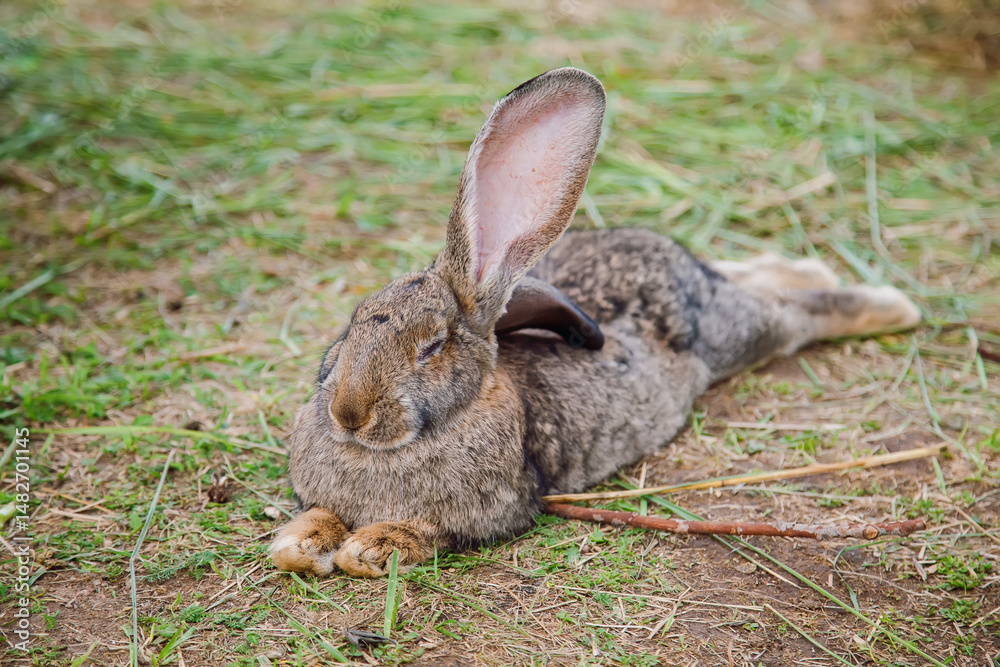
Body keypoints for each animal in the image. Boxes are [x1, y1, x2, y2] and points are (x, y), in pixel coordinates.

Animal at [269, 68, 920, 578]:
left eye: (431, 346)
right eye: (350, 327)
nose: (349, 414)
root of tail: (687, 270)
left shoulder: (492, 511)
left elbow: (426, 533)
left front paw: (369, 549)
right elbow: (314, 518)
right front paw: (301, 544)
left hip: (736, 337)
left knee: (791, 316)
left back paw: (893, 305)